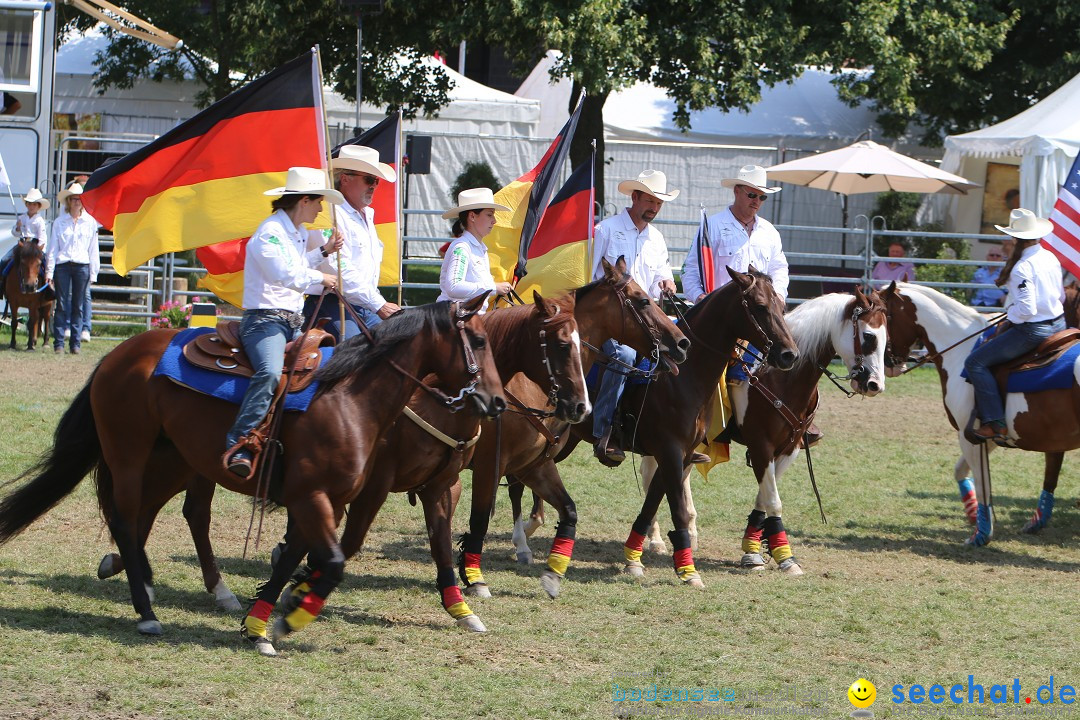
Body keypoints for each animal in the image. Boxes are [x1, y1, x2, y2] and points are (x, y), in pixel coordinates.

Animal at [0, 295, 505, 643]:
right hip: (129, 454)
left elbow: (299, 561)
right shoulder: (316, 497)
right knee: (127, 518)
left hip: (175, 459)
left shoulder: (328, 499)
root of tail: (117, 355)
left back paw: (150, 579)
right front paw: (293, 615)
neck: (348, 398)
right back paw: (146, 612)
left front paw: (263, 622)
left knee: (159, 515)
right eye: (479, 341)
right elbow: (333, 560)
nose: (497, 402)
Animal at [635, 287, 889, 574]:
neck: (782, 378)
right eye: (868, 337)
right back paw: (655, 540)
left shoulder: (789, 448)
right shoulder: (760, 446)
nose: (874, 384)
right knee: (651, 475)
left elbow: (764, 497)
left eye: (886, 337)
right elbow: (773, 500)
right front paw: (780, 556)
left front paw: (755, 548)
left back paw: (690, 530)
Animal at [876, 280, 1080, 546]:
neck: (960, 349)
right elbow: (962, 471)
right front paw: (974, 516)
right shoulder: (988, 435)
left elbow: (983, 485)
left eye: (882, 317)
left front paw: (981, 534)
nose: (888, 364)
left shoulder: (968, 435)